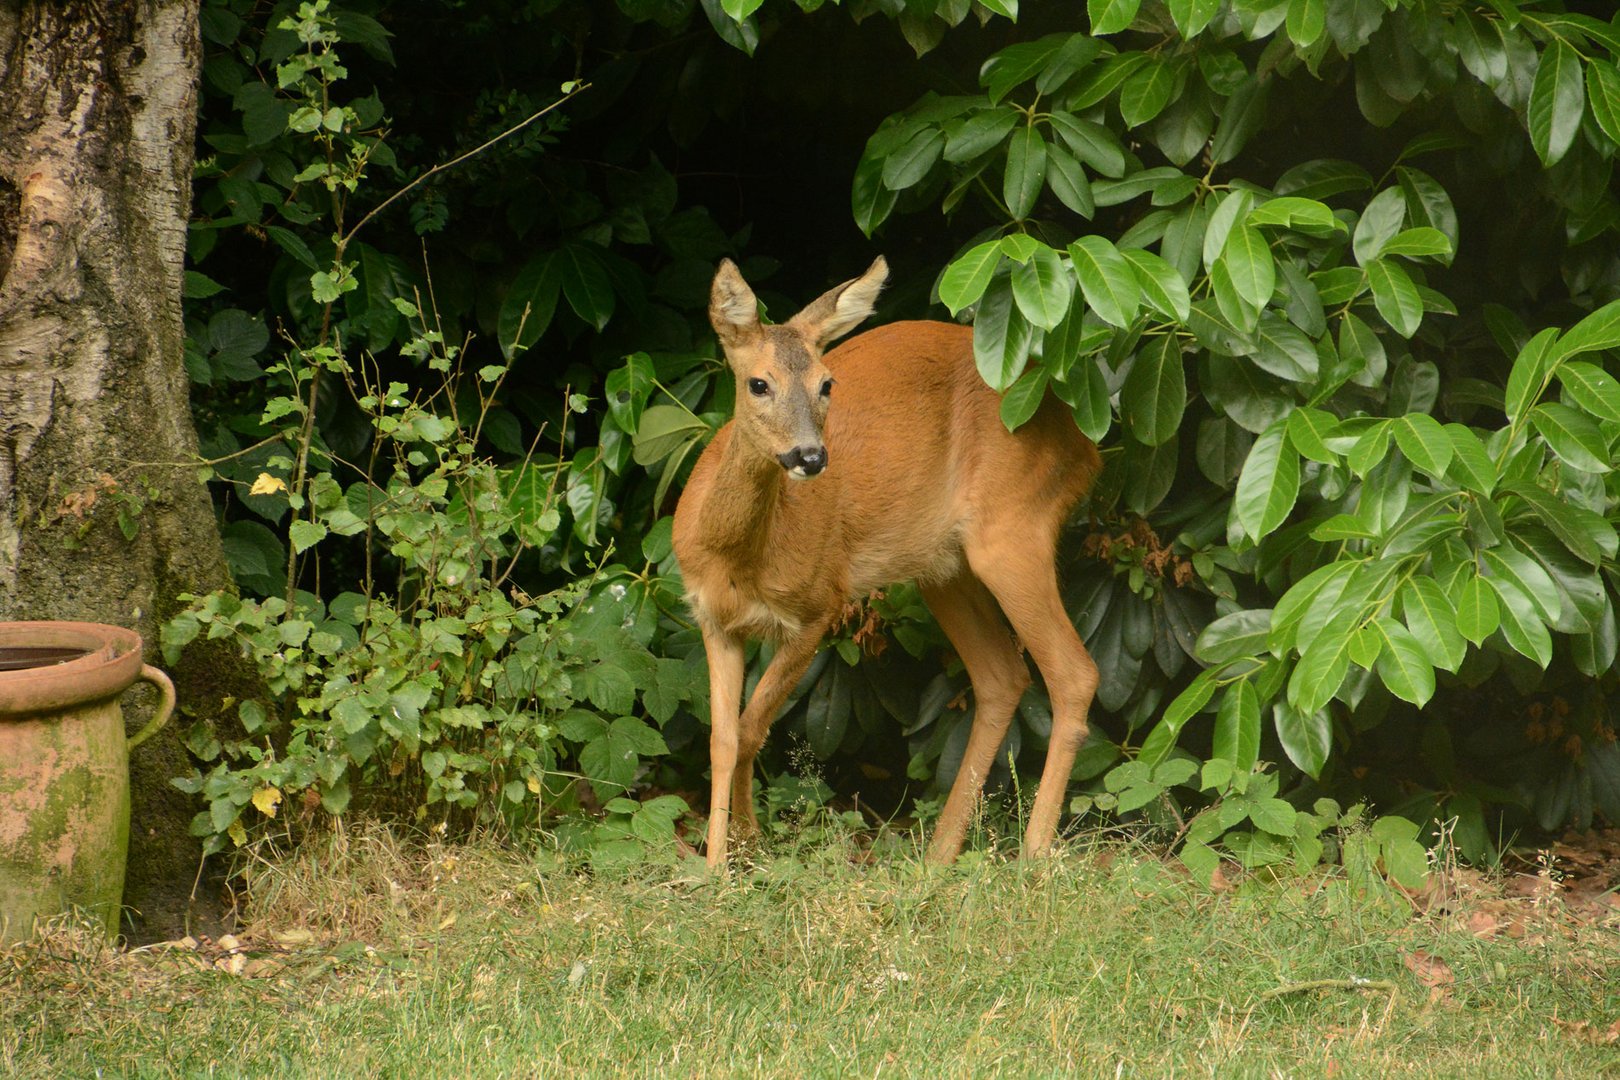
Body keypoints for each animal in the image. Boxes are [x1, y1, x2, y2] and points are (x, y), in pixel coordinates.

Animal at [670, 259, 1101, 867]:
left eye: (827, 384)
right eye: (758, 382)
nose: (810, 456)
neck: (739, 558)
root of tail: (1085, 448)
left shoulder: (818, 607)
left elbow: (752, 727)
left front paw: (746, 844)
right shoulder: (712, 618)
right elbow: (722, 737)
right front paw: (718, 867)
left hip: (1014, 529)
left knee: (1073, 672)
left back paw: (1033, 857)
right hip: (943, 569)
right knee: (1002, 676)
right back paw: (938, 857)